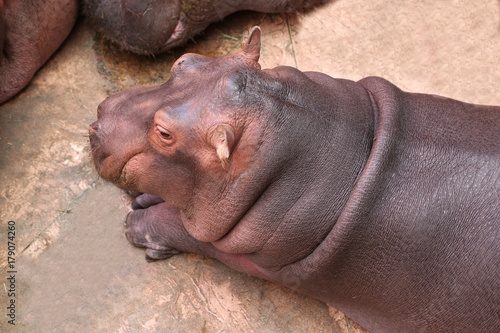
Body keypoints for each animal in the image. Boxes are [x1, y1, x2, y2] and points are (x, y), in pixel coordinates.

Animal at [90, 26, 500, 332]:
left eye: (164, 134)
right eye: (184, 61)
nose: (98, 119)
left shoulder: (260, 260)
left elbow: (198, 236)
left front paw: (139, 223)